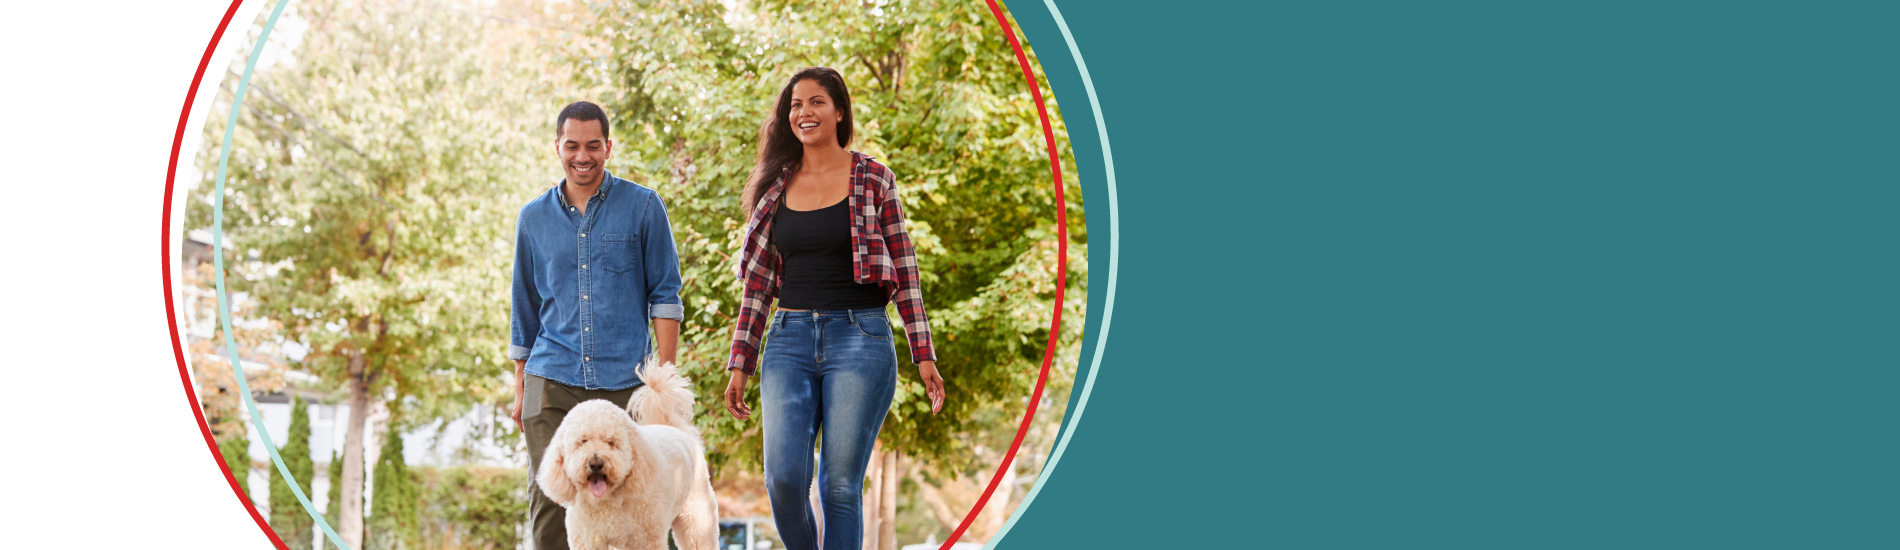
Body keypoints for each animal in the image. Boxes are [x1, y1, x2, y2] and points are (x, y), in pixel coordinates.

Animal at [543, 361, 718, 544]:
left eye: (611, 442)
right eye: (582, 441)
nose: (596, 463)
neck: (606, 502)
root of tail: (675, 428)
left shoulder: (647, 540)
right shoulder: (587, 540)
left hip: (697, 519)